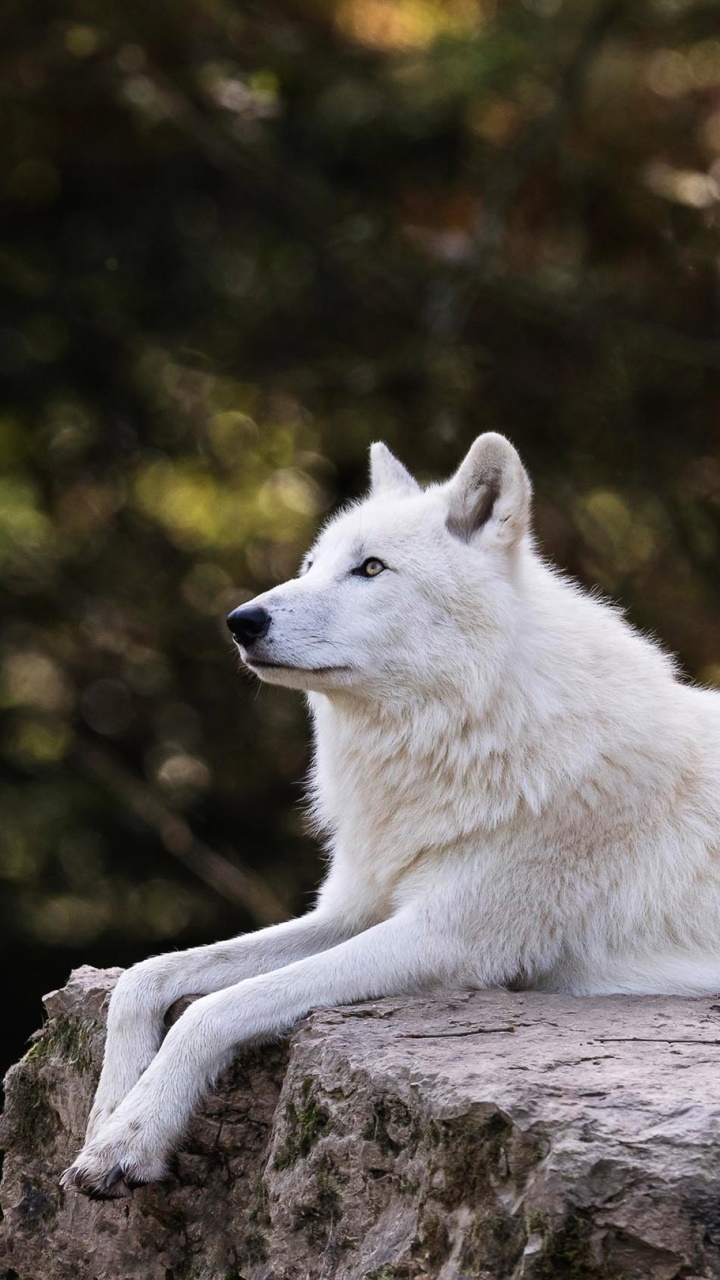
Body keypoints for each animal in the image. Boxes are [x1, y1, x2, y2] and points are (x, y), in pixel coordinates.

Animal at [63, 432, 720, 1198]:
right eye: (311, 567)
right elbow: (144, 977)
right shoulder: (355, 911)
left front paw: (133, 1137)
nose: (240, 621)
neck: (466, 734)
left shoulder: (444, 940)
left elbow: (213, 1008)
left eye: (370, 569)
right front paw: (107, 1115)